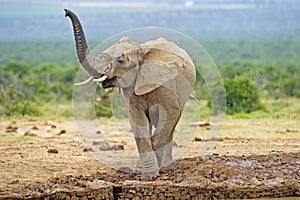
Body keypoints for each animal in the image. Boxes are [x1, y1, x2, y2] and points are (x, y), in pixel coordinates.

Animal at [65, 8, 197, 179]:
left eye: (120, 61)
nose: (65, 11)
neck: (142, 49)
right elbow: (137, 120)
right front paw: (149, 174)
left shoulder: (166, 83)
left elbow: (170, 114)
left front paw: (155, 169)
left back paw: (168, 166)